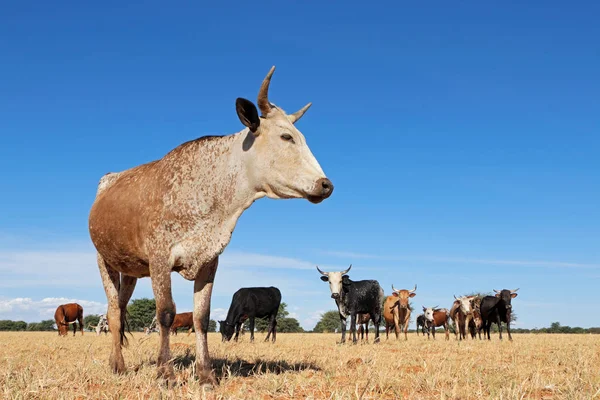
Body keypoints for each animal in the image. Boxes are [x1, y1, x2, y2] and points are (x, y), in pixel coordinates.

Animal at [88, 67, 332, 386]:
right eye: (286, 136)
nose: (326, 184)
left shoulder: (209, 261)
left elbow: (201, 317)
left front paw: (206, 374)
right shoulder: (159, 259)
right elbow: (166, 313)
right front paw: (166, 373)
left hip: (130, 271)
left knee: (120, 307)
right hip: (103, 260)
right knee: (113, 312)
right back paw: (117, 365)